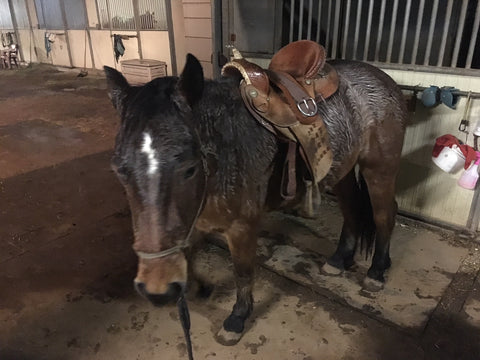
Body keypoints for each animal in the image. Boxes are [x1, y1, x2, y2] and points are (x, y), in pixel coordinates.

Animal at [104, 46, 404, 344]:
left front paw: (237, 319)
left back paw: (377, 271)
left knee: (384, 214)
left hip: (379, 169)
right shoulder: (193, 222)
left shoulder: (242, 226)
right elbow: (188, 255)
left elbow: (243, 271)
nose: (156, 288)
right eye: (119, 170)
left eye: (189, 168)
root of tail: (384, 79)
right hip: (342, 169)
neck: (222, 150)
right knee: (352, 208)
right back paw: (339, 259)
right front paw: (200, 287)